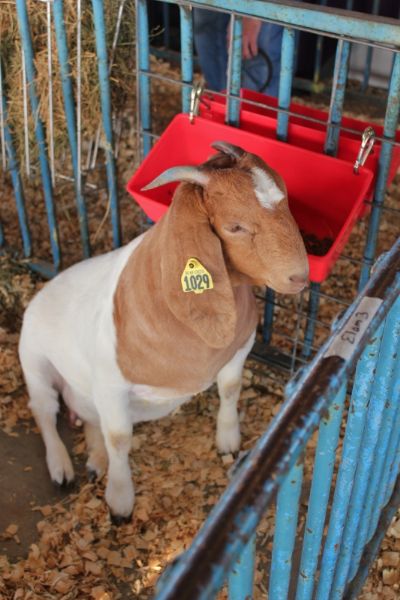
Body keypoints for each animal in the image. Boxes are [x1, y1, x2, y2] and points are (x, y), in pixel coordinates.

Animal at [18, 143, 308, 524]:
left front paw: (228, 440)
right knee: (44, 410)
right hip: (34, 361)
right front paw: (120, 501)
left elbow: (230, 389)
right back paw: (61, 468)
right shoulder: (110, 384)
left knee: (87, 418)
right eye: (235, 226)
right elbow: (119, 438)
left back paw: (95, 460)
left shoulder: (240, 348)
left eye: (287, 200)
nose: (300, 276)